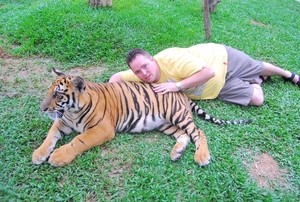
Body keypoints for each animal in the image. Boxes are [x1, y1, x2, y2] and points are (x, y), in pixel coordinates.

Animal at [32, 68, 251, 166]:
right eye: (49, 91)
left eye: (58, 95)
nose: (42, 108)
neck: (72, 111)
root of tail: (180, 92)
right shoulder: (62, 122)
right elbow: (50, 136)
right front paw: (39, 154)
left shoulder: (102, 129)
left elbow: (79, 140)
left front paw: (58, 156)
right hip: (165, 124)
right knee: (184, 135)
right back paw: (176, 153)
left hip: (177, 115)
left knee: (198, 131)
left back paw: (202, 156)